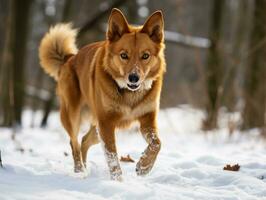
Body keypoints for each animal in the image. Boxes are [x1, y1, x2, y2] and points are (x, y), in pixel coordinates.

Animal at [38, 7, 165, 180]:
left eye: (145, 56)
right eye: (124, 55)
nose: (133, 78)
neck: (129, 94)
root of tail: (69, 58)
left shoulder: (147, 119)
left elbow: (156, 143)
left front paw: (144, 166)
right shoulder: (106, 122)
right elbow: (112, 157)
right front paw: (117, 181)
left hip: (97, 128)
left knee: (84, 141)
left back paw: (85, 169)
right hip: (73, 115)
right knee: (74, 143)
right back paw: (79, 171)